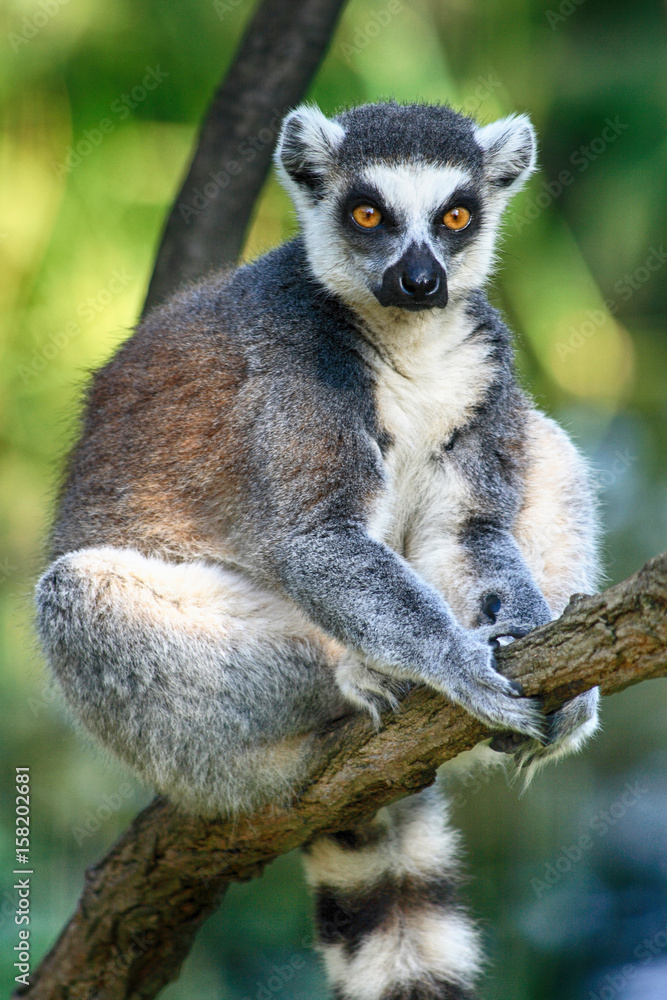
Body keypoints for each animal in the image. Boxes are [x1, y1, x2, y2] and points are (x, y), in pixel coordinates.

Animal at [36, 101, 600, 999]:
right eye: (368, 214)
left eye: (455, 217)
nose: (421, 281)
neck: (409, 342)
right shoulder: (295, 380)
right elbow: (317, 540)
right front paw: (455, 664)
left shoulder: (481, 374)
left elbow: (470, 533)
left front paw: (524, 639)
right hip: (193, 744)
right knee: (79, 598)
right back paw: (353, 683)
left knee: (544, 443)